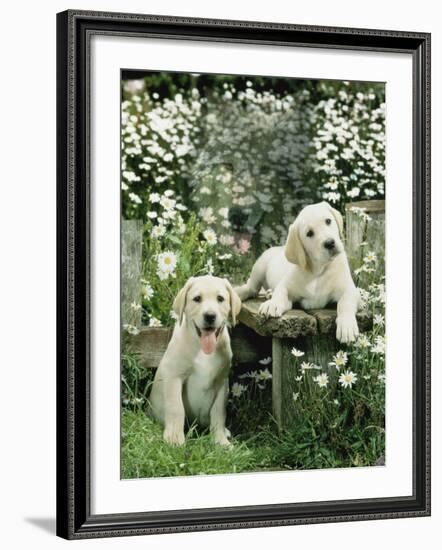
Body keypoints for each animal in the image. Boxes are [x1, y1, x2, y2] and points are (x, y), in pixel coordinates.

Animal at [149, 276, 242, 448]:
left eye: (220, 299)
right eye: (197, 299)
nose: (210, 316)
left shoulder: (221, 381)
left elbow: (218, 412)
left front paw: (220, 441)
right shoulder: (174, 377)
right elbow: (176, 408)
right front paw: (174, 438)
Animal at [237, 201, 360, 342]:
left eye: (328, 221)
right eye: (309, 233)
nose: (330, 243)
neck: (318, 270)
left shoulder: (350, 290)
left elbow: (345, 303)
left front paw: (347, 326)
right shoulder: (287, 285)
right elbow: (281, 292)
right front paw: (273, 303)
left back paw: (269, 293)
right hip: (260, 265)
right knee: (251, 287)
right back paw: (240, 292)